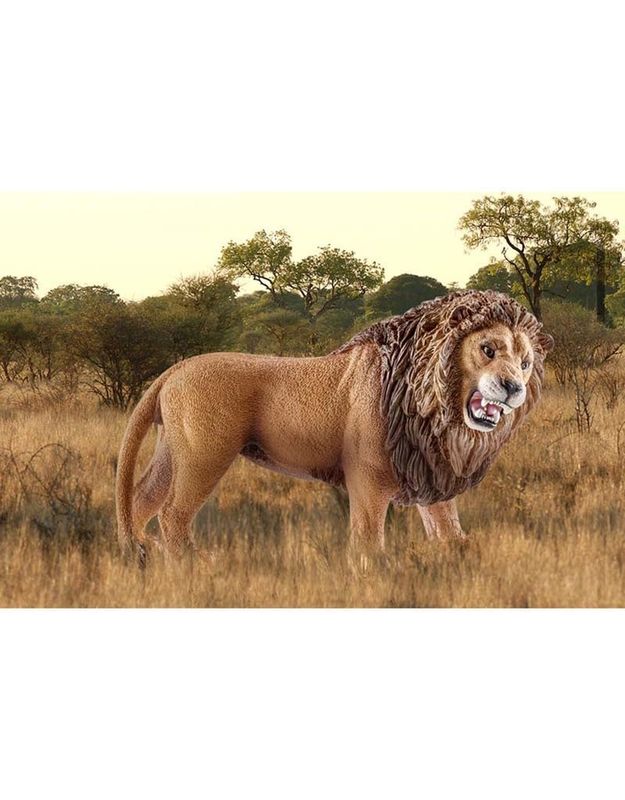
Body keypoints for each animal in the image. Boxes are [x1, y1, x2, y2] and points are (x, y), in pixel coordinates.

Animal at [115, 289, 553, 563]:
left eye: (525, 362)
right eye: (488, 349)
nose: (514, 387)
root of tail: (175, 369)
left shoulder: (429, 468)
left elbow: (445, 523)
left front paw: (458, 553)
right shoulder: (368, 477)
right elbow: (367, 535)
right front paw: (373, 571)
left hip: (173, 451)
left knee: (142, 499)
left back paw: (144, 554)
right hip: (205, 455)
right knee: (172, 512)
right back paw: (192, 563)